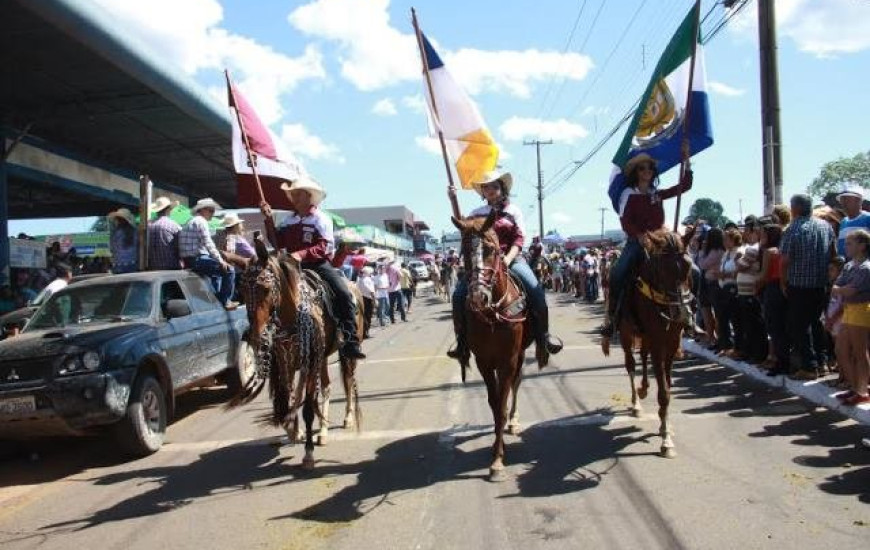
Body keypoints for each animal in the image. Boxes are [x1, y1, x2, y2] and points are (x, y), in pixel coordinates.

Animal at [230, 239, 362, 472]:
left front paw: (308, 454)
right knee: (326, 386)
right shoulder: (287, 363)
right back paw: (323, 431)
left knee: (348, 381)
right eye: (241, 290)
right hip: (321, 358)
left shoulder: (308, 363)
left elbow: (308, 407)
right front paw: (293, 430)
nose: (254, 336)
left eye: (265, 288)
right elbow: (288, 399)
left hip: (345, 354)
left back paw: (347, 418)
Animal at [454, 211, 540, 484]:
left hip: (520, 355)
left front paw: (498, 461)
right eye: (463, 250)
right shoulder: (484, 361)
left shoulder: (508, 360)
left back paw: (513, 421)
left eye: (491, 249)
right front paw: (495, 451)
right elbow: (493, 404)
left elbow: (502, 403)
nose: (478, 297)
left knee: (516, 383)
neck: (493, 314)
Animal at [604, 231, 692, 460]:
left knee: (643, 357)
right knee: (631, 365)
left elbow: (667, 386)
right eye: (662, 268)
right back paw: (636, 403)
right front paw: (666, 441)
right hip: (627, 334)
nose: (681, 313)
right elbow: (663, 392)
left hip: (646, 337)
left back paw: (644, 388)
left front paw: (664, 426)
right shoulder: (658, 341)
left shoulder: (671, 342)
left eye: (688, 266)